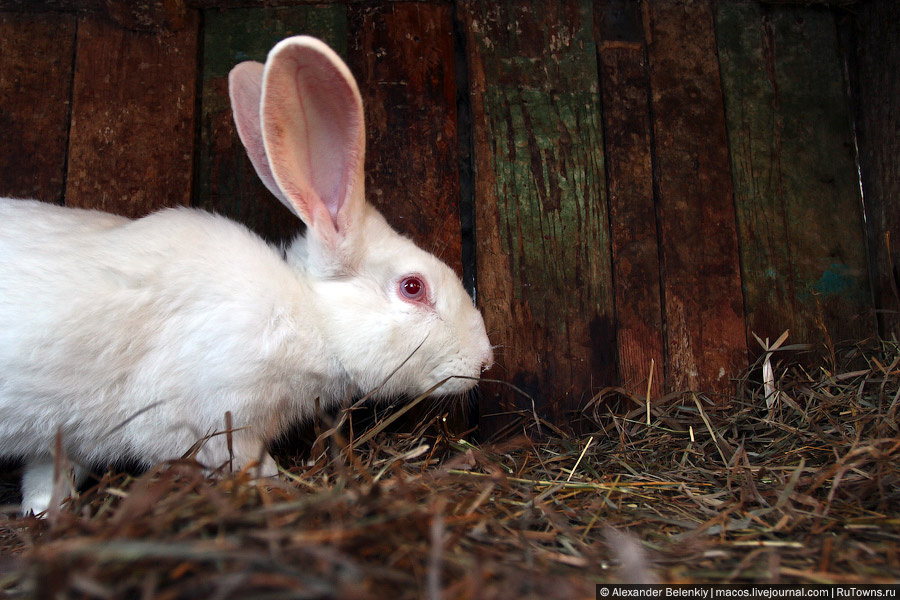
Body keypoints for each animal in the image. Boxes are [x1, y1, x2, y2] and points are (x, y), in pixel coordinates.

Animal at [0, 36, 492, 516]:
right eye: (413, 288)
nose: (484, 362)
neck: (307, 314)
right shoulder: (209, 415)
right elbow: (239, 458)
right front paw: (275, 484)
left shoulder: (64, 441)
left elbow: (46, 480)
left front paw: (46, 513)